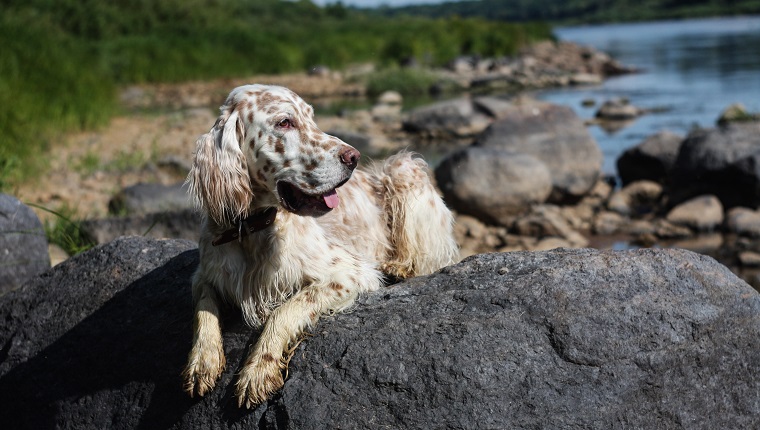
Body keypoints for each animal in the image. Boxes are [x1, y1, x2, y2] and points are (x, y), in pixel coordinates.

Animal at [183, 83, 458, 406]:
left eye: (311, 119)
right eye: (285, 122)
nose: (353, 156)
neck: (252, 230)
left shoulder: (348, 274)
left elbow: (284, 310)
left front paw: (258, 369)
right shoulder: (204, 274)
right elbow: (203, 309)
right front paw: (203, 361)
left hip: (403, 167)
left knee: (428, 259)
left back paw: (400, 266)